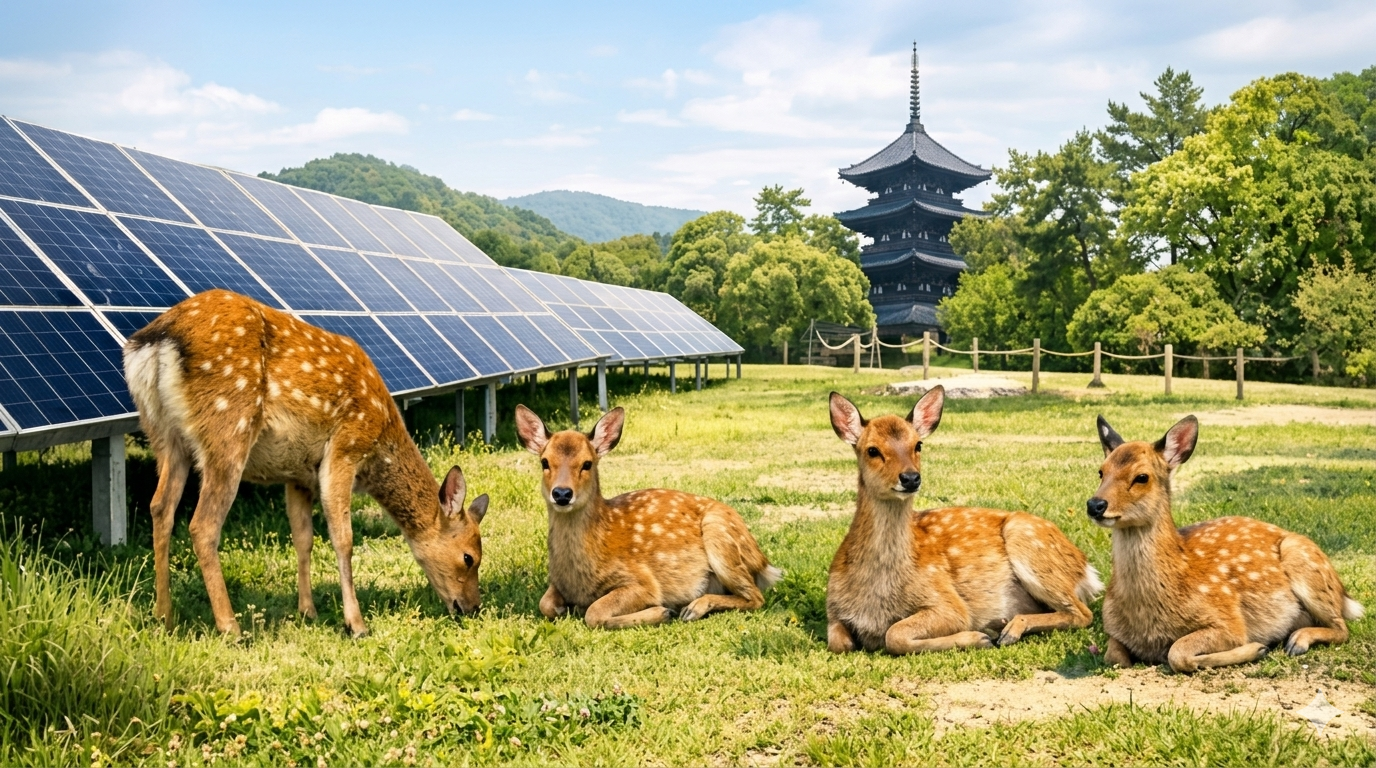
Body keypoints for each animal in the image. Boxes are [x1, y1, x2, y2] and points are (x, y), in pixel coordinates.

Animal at [123, 289, 489, 638]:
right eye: (469, 557)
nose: (472, 608)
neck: (381, 440)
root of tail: (156, 339)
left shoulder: (297, 475)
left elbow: (303, 538)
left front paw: (307, 610)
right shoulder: (345, 448)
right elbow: (343, 539)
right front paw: (355, 624)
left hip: (164, 436)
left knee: (160, 507)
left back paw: (164, 616)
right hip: (228, 425)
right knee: (202, 524)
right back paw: (231, 628)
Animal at [514, 404, 781, 629]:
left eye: (587, 463)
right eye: (545, 462)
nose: (561, 493)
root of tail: (763, 561)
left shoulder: (642, 580)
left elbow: (594, 613)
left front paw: (662, 612)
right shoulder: (556, 582)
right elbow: (545, 605)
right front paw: (563, 608)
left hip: (720, 535)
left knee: (756, 596)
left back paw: (692, 609)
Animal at [826, 387, 1102, 655]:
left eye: (918, 445)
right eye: (872, 450)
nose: (911, 477)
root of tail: (1086, 569)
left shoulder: (946, 599)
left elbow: (895, 635)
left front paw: (978, 638)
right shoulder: (832, 610)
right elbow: (840, 644)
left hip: (1029, 542)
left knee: (1082, 613)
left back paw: (1007, 630)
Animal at [1090, 415, 1364, 672]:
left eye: (1142, 477)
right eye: (1101, 471)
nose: (1095, 504)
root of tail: (1343, 592)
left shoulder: (1228, 619)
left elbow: (1177, 653)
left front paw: (1256, 648)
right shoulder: (1112, 628)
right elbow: (1114, 657)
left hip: (1303, 560)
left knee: (1342, 628)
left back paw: (1297, 641)